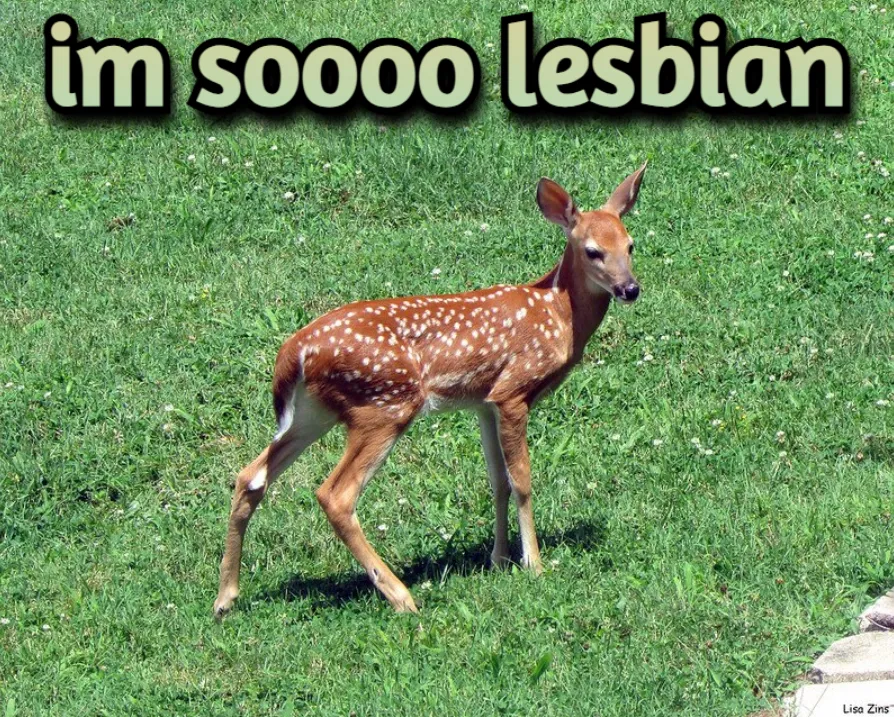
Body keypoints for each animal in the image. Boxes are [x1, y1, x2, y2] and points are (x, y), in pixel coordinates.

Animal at [212, 164, 647, 617]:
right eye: (593, 251)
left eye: (630, 245)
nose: (630, 289)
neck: (559, 313)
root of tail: (294, 350)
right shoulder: (513, 391)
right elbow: (522, 479)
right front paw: (534, 565)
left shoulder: (483, 402)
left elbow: (497, 480)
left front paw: (498, 560)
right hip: (384, 404)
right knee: (334, 495)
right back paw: (401, 595)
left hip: (313, 412)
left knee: (250, 476)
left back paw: (225, 598)